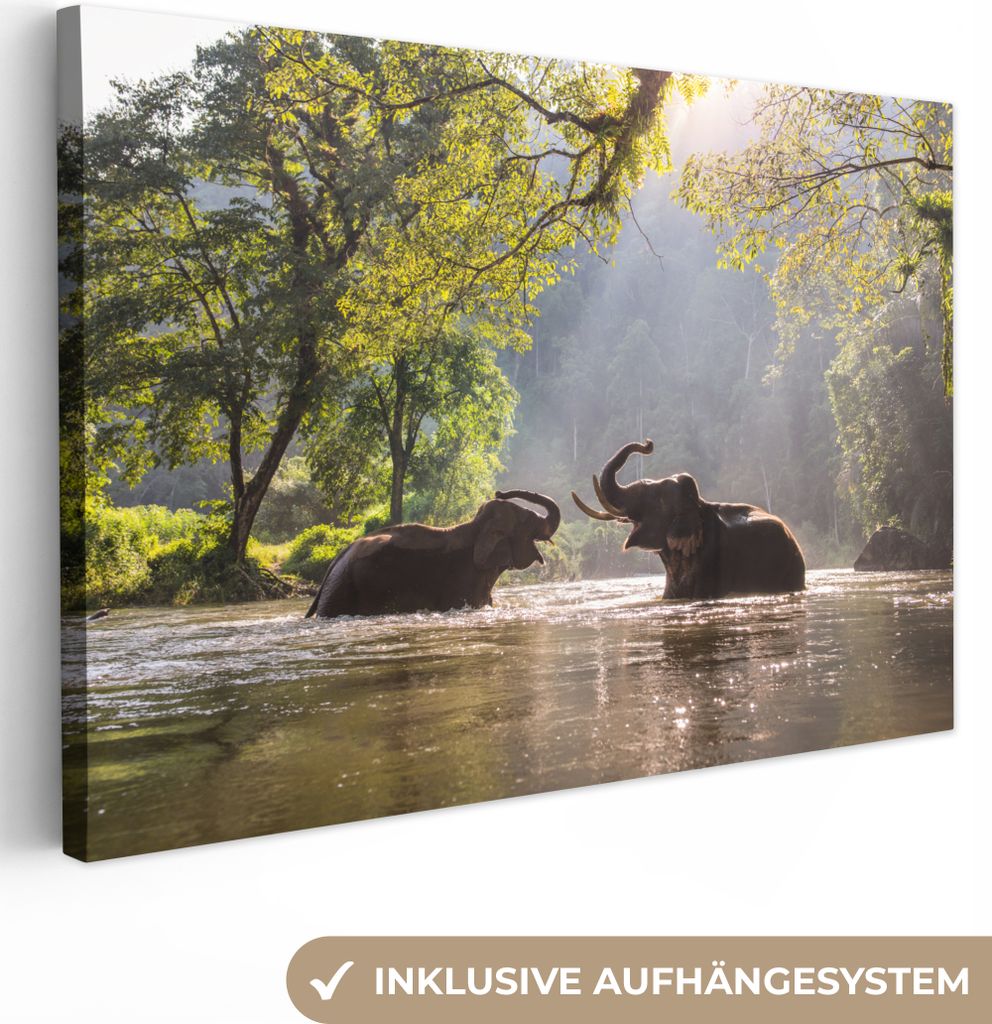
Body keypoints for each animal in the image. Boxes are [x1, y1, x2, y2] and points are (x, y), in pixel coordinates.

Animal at [305, 490, 561, 618]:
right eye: (527, 519)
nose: (500, 491)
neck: (475, 527)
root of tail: (335, 561)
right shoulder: (463, 580)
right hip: (342, 592)